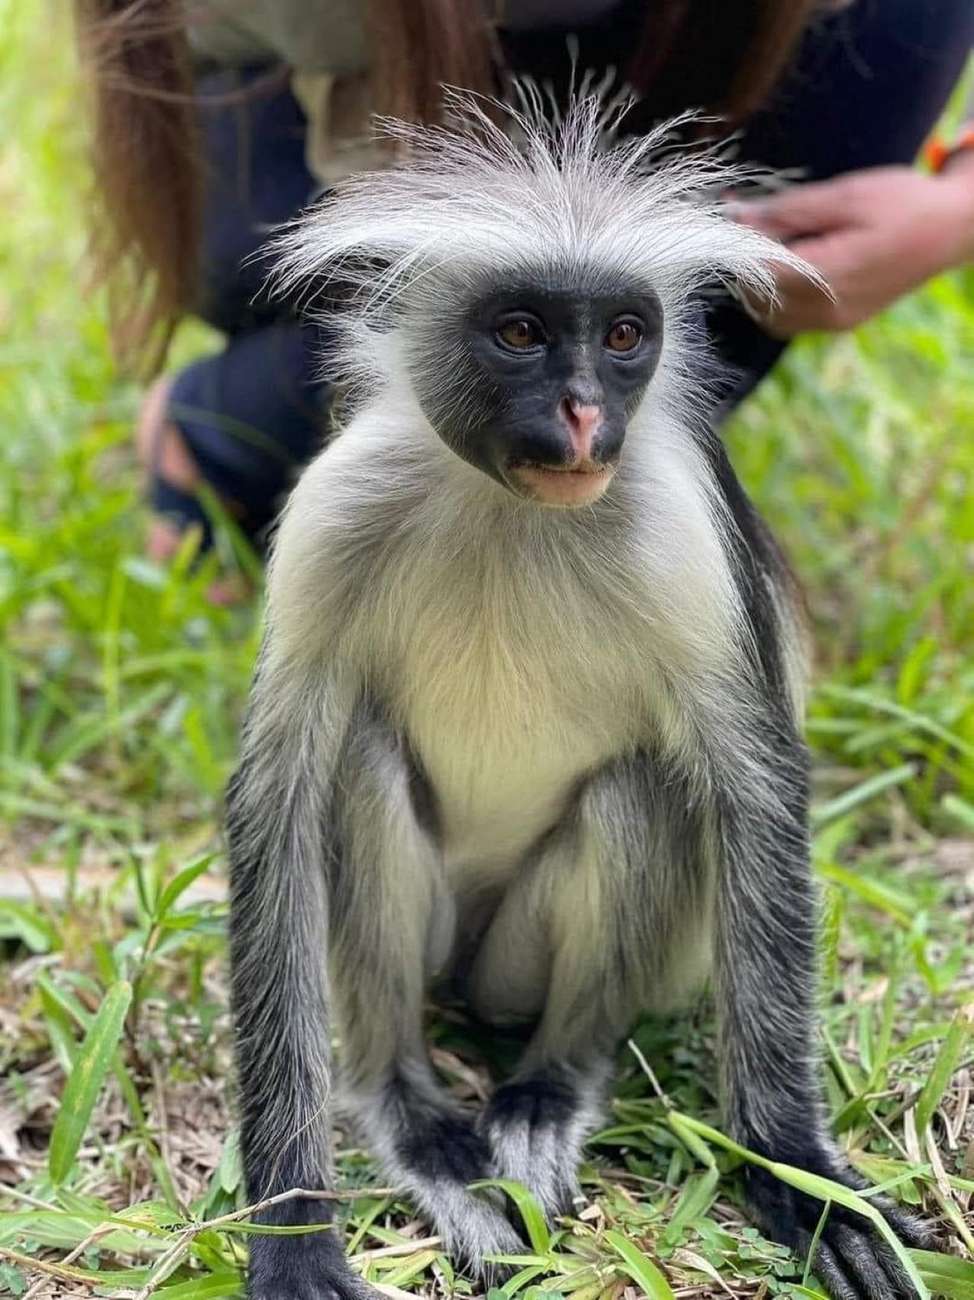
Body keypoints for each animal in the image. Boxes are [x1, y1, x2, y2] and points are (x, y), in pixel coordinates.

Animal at [226, 93, 932, 1300]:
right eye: (520, 333)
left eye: (622, 337)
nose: (585, 416)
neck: (513, 508)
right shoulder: (340, 505)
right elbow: (274, 798)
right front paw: (292, 1230)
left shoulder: (677, 525)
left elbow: (756, 788)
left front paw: (795, 1172)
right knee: (360, 764)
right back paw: (415, 1113)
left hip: (527, 958)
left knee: (640, 790)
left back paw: (548, 1088)